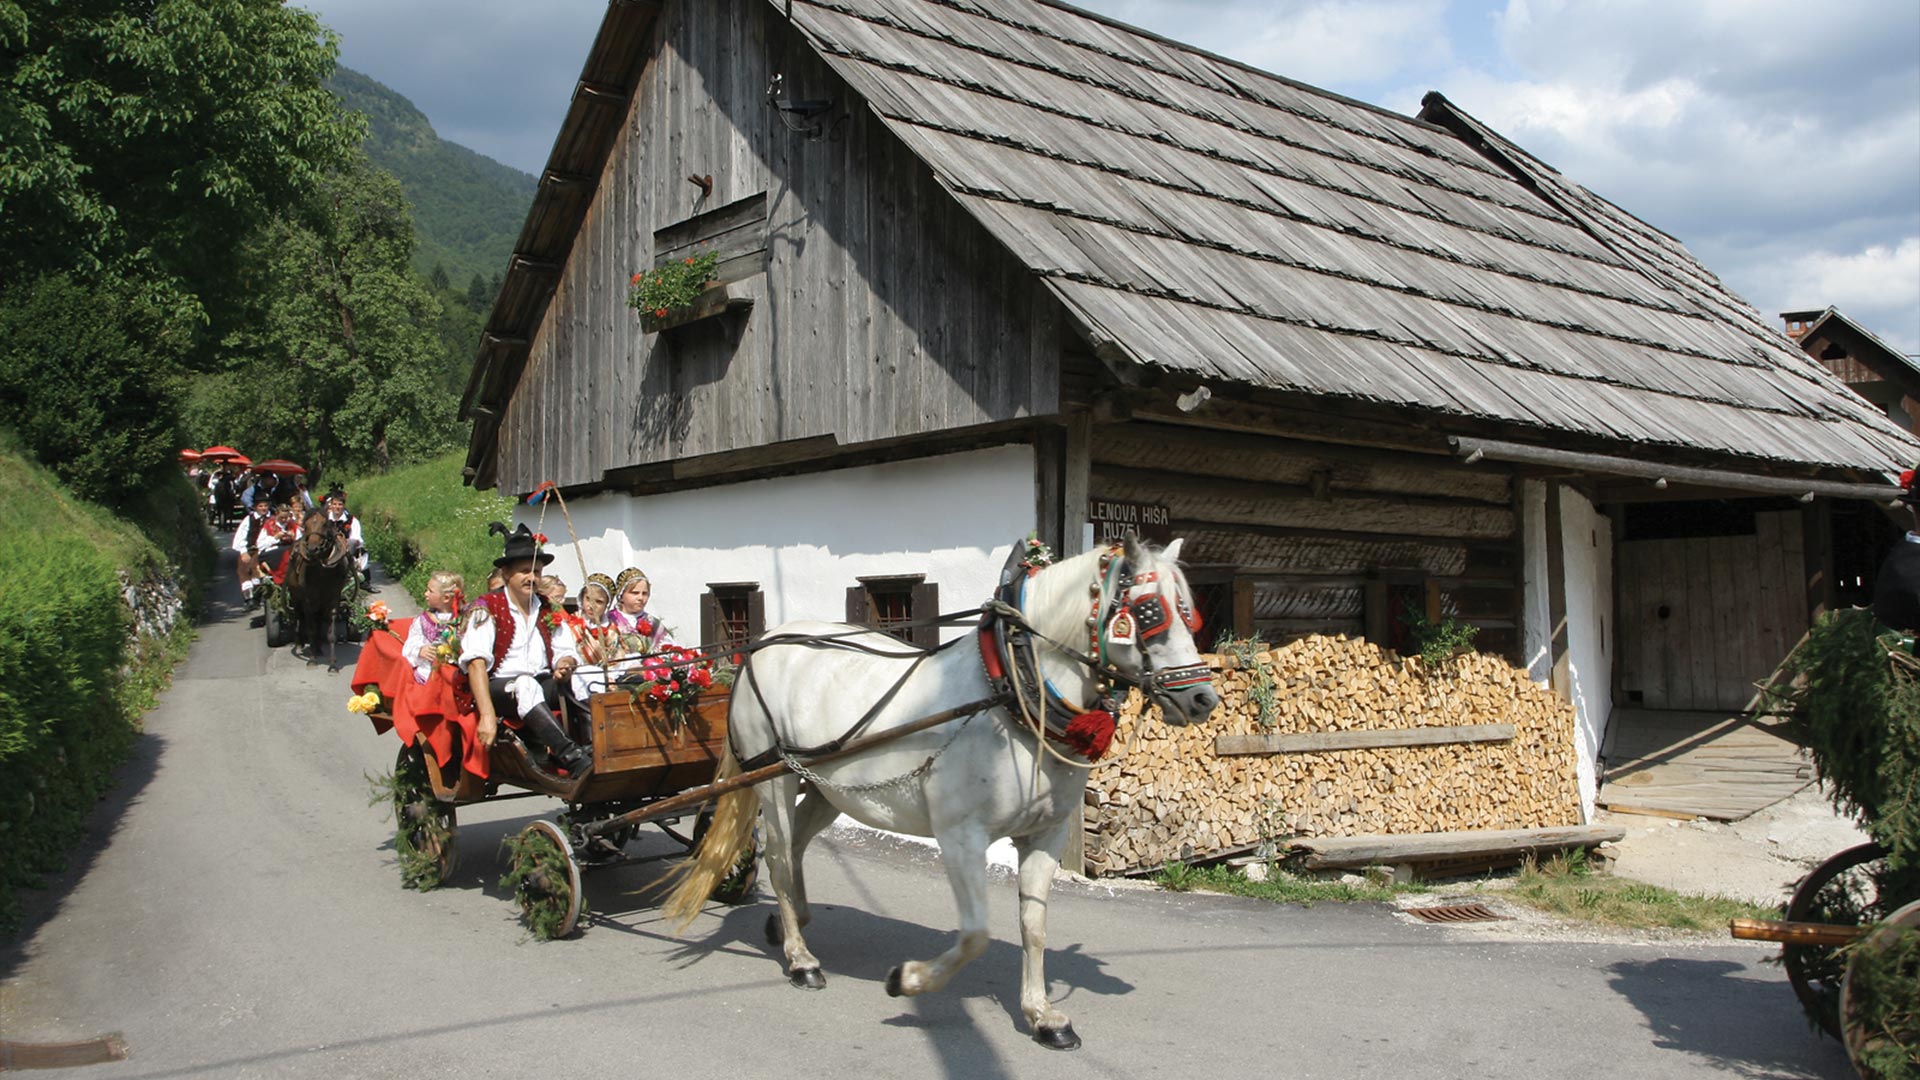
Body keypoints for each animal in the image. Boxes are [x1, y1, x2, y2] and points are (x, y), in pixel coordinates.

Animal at [284, 507, 353, 672]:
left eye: (325, 524)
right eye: (305, 525)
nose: (312, 549)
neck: (322, 569)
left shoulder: (333, 598)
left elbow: (331, 632)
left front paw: (333, 665)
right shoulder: (308, 600)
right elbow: (311, 629)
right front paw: (312, 660)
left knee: (318, 620)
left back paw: (319, 648)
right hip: (296, 596)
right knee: (299, 616)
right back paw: (300, 643)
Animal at [668, 534, 1221, 1045]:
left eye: (1189, 613)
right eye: (1150, 611)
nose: (1202, 699)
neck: (1010, 691)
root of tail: (764, 642)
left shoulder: (1045, 835)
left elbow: (1034, 925)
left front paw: (1042, 1015)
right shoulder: (961, 837)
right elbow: (976, 934)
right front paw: (910, 979)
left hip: (829, 788)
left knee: (799, 847)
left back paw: (789, 925)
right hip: (775, 779)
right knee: (782, 855)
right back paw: (801, 959)